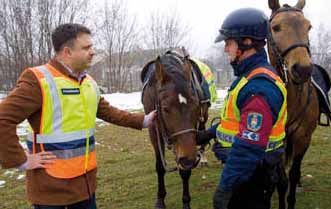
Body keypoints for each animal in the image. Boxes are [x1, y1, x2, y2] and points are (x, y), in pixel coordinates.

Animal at [141, 51, 209, 209]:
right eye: (165, 108)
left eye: (195, 105)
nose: (189, 159)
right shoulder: (154, 131)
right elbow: (160, 166)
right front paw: (160, 199)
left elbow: (185, 170)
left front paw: (186, 202)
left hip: (203, 118)